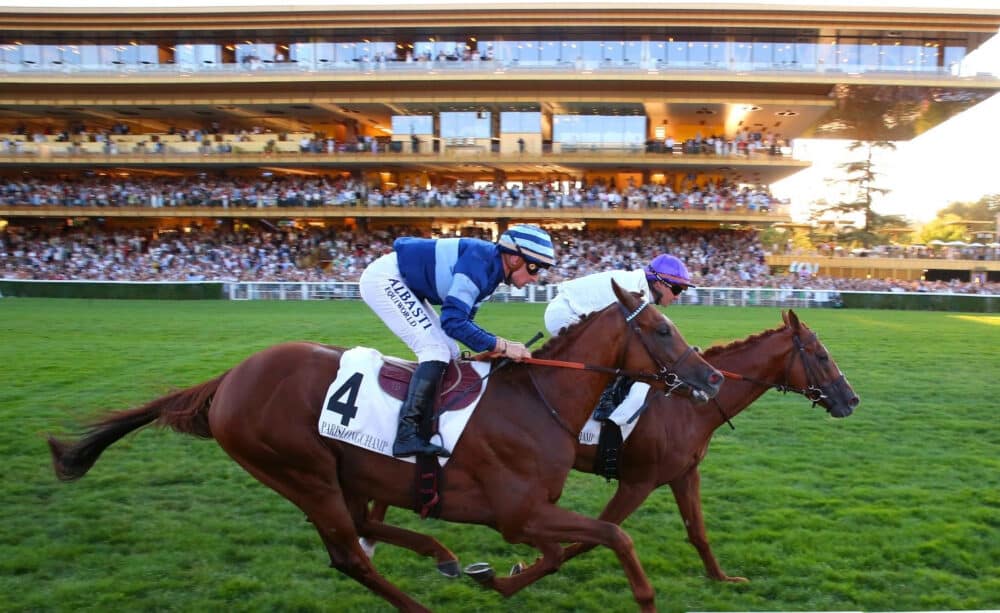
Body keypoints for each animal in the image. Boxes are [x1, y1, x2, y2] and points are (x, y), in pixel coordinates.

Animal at [48, 284, 720, 612]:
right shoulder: (518, 513)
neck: (540, 398)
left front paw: (492, 577)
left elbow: (567, 550)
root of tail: (229, 378)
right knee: (348, 553)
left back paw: (440, 552)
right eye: (662, 329)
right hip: (301, 471)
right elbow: (613, 536)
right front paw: (645, 597)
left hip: (341, 471)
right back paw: (420, 595)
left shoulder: (526, 516)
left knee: (361, 528)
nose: (711, 377)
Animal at [368, 308, 860, 584]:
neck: (686, 405)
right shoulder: (637, 482)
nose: (851, 399)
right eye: (821, 355)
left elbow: (697, 532)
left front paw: (723, 577)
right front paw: (523, 568)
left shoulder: (684, 474)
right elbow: (591, 538)